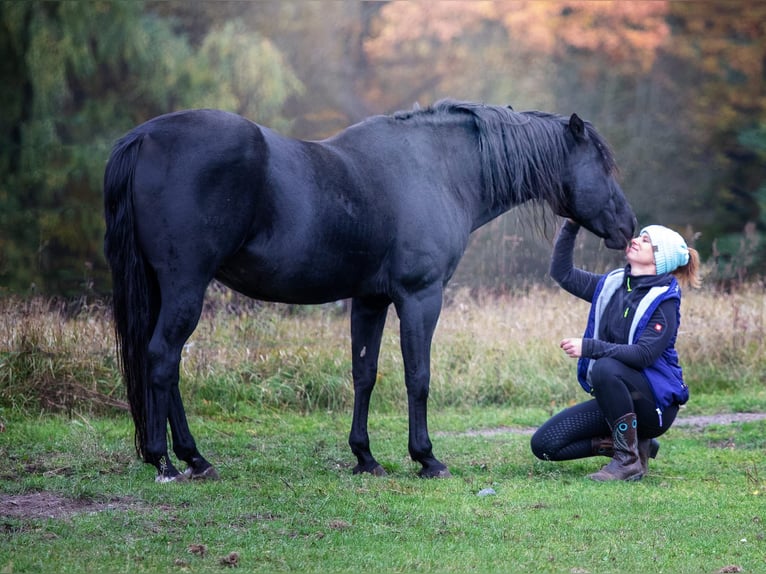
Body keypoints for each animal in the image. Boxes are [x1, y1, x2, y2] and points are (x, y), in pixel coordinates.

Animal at [103, 99, 635, 482]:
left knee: (166, 365)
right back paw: (169, 461)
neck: (439, 169)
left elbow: (365, 374)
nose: (629, 227)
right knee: (161, 359)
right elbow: (417, 376)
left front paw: (365, 457)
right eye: (602, 166)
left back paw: (193, 459)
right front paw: (427, 459)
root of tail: (143, 136)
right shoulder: (420, 298)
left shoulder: (370, 300)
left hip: (166, 289)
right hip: (185, 286)